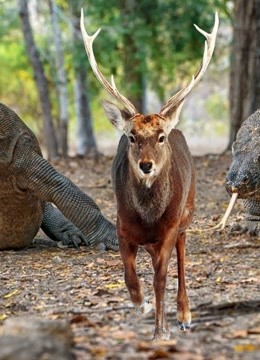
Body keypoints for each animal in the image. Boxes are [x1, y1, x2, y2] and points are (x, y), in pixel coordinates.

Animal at [80, 9, 218, 340]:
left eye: (160, 137)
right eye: (131, 136)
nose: (146, 166)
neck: (148, 217)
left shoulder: (169, 227)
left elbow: (161, 279)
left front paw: (161, 331)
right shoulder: (121, 226)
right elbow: (130, 276)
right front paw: (141, 305)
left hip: (187, 213)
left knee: (180, 259)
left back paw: (183, 315)